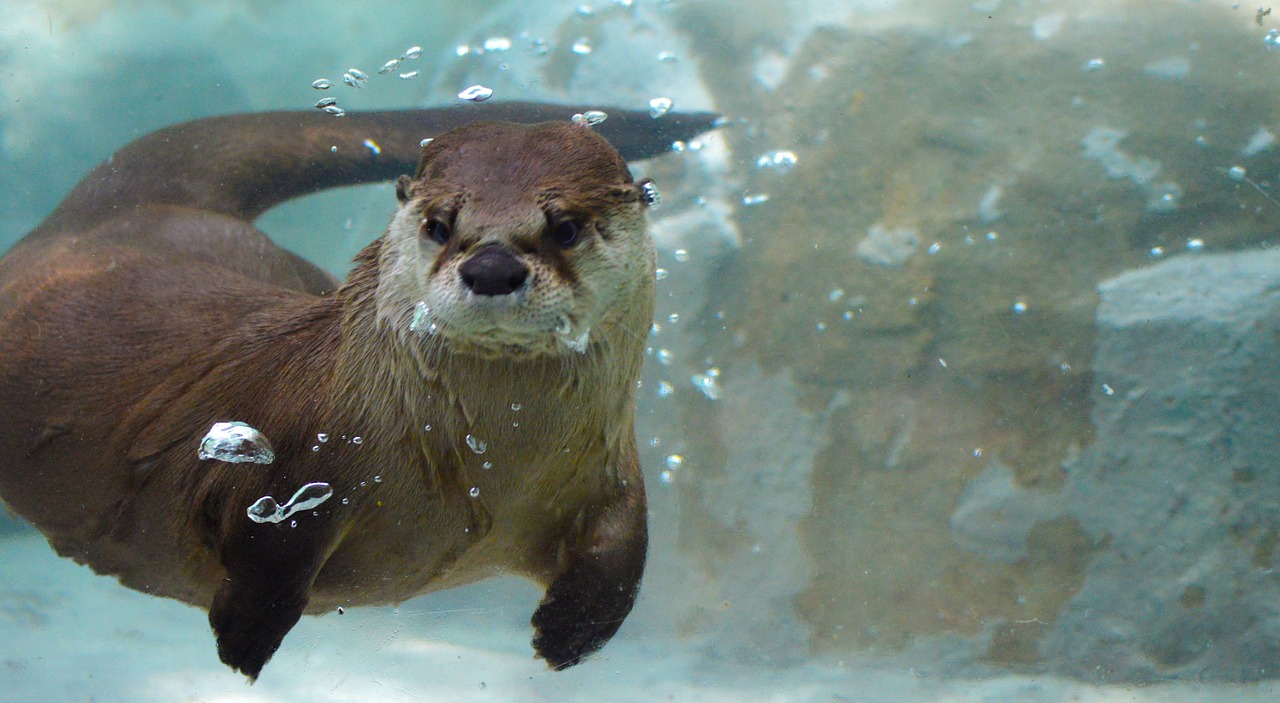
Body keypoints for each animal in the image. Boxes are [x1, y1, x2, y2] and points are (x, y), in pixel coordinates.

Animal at [0, 101, 721, 676]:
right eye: (439, 223)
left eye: (565, 227)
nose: (492, 266)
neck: (487, 470)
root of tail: (112, 215)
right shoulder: (291, 453)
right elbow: (266, 546)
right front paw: (246, 635)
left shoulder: (608, 470)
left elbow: (624, 552)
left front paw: (569, 634)